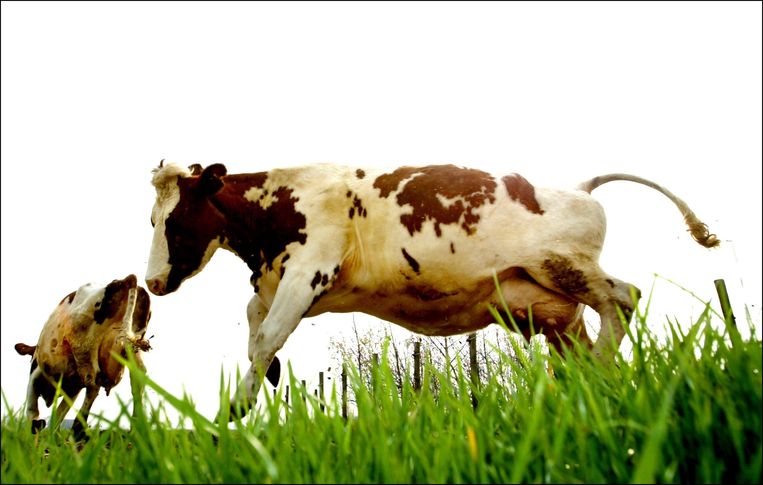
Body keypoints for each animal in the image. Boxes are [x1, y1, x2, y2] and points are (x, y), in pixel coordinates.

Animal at [15, 274, 152, 438]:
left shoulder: (36, 374)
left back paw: (78, 429)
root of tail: (127, 280)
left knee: (93, 384)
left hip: (84, 350)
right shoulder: (73, 388)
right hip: (130, 351)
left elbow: (32, 409)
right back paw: (135, 431)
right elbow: (60, 412)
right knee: (137, 381)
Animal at [145, 161, 718, 419]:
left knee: (624, 297)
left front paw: (234, 409)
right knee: (587, 334)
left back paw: (597, 373)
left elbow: (266, 336)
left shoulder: (310, 269)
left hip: (565, 268)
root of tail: (576, 189)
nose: (151, 281)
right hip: (551, 307)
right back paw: (586, 386)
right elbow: (254, 323)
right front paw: (265, 379)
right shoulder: (282, 281)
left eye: (176, 222)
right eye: (152, 218)